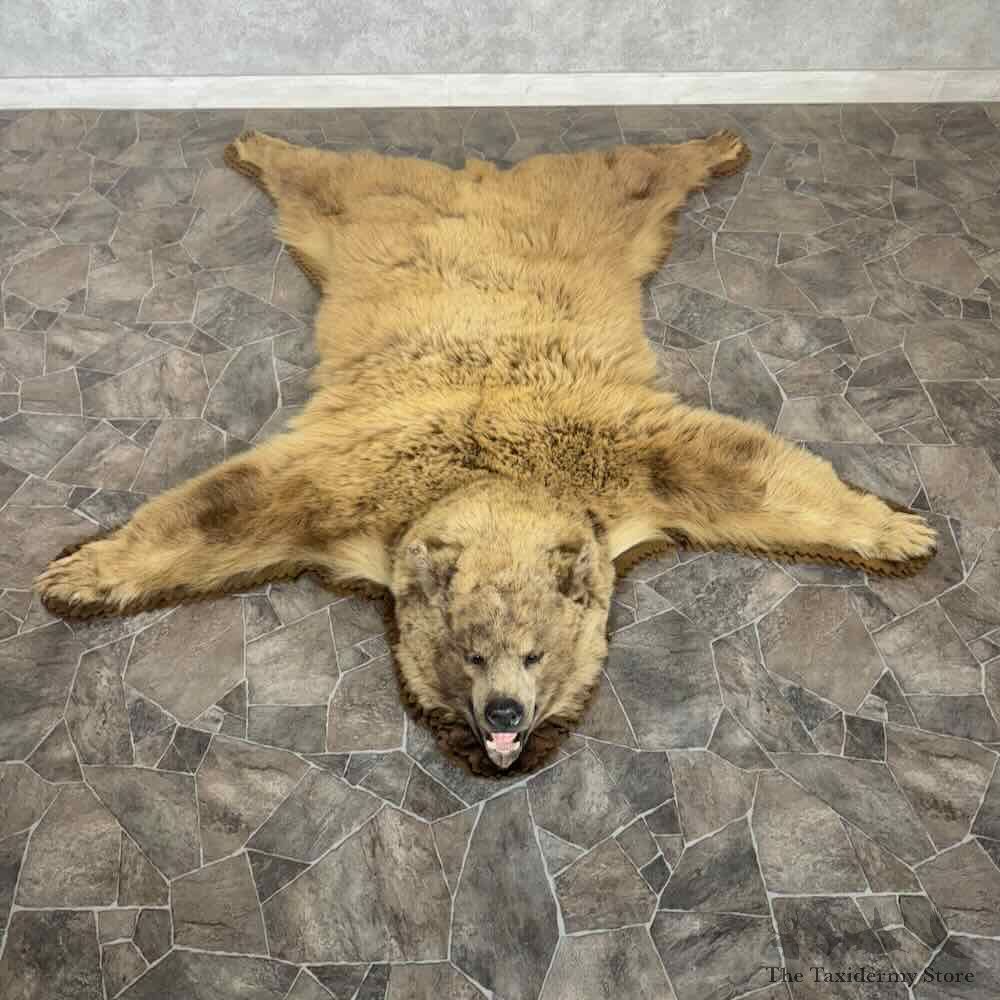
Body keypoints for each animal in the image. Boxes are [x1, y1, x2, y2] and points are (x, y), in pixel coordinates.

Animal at [36, 129, 935, 774]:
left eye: (535, 654)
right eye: (468, 655)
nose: (504, 720)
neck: (494, 475)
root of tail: (476, 181)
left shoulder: (620, 456)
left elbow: (739, 463)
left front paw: (899, 529)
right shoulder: (353, 482)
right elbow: (228, 506)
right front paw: (78, 572)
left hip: (589, 213)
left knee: (634, 172)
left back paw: (718, 142)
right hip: (360, 220)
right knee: (326, 178)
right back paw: (256, 144)